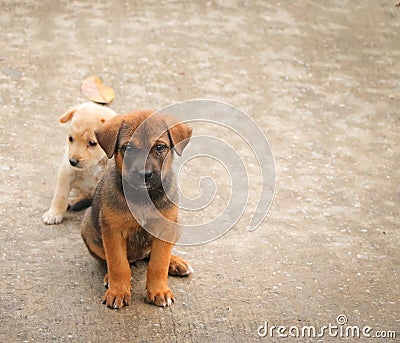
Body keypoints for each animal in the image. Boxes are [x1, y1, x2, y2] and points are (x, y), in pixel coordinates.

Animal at [80, 110, 193, 310]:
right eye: (128, 148)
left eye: (160, 147)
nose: (144, 174)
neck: (142, 198)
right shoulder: (113, 231)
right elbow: (118, 264)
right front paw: (118, 291)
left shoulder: (164, 229)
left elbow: (158, 263)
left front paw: (159, 291)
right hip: (88, 226)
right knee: (109, 260)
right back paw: (109, 278)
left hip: (177, 223)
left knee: (153, 254)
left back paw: (175, 262)